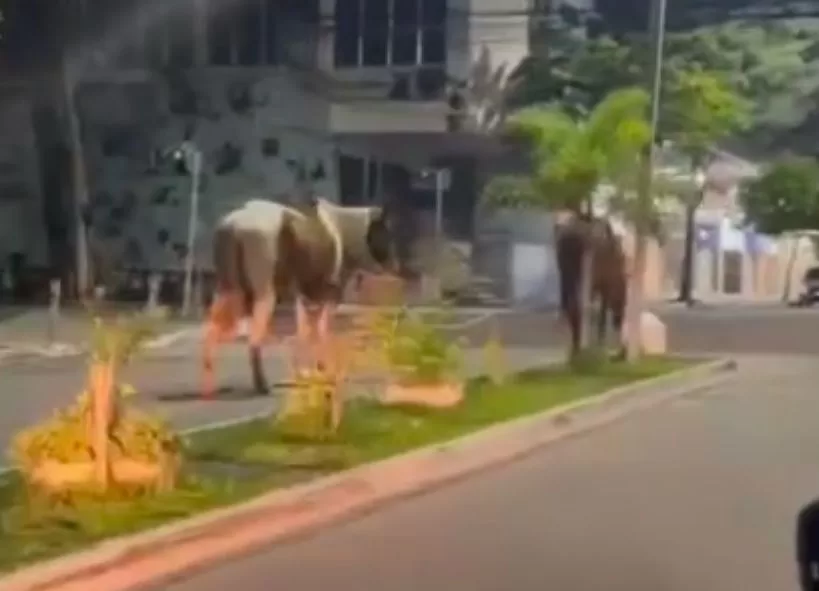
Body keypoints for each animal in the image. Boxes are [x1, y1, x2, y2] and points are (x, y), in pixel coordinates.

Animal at [202, 198, 400, 398]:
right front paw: (321, 370)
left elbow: (305, 331)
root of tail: (232, 225)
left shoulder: (303, 296)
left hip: (228, 288)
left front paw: (308, 372)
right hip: (263, 289)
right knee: (254, 335)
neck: (346, 230)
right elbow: (319, 330)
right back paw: (261, 385)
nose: (396, 266)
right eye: (385, 232)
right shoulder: (327, 294)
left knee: (212, 328)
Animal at [556, 213, 628, 360]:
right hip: (581, 279)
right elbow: (601, 315)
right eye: (622, 301)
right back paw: (578, 348)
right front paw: (600, 342)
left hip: (567, 277)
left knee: (570, 307)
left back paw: (575, 348)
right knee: (577, 307)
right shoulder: (604, 287)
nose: (618, 321)